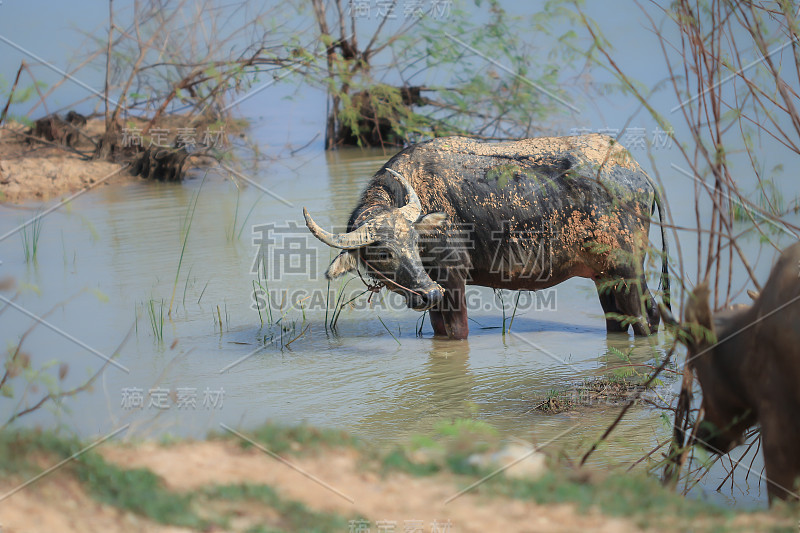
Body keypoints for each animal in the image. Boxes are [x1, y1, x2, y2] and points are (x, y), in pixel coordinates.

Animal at [304, 135, 668, 338]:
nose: (427, 293)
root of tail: (638, 173)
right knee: (617, 321)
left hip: (629, 270)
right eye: (383, 253)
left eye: (414, 244)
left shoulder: (452, 282)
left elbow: (457, 331)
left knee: (647, 317)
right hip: (604, 276)